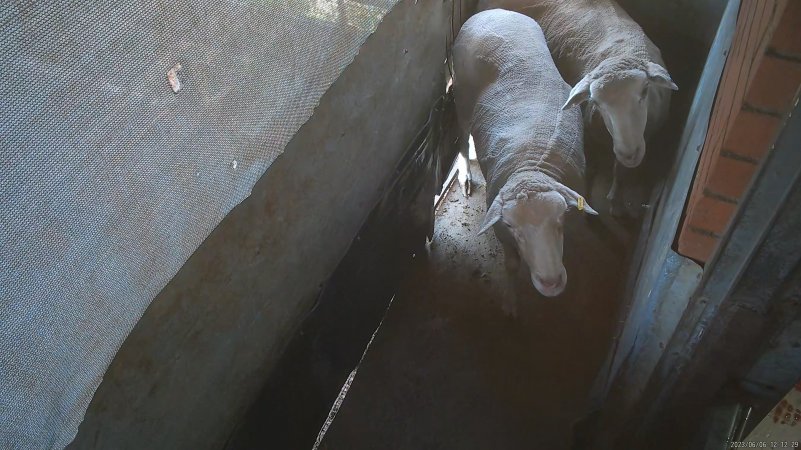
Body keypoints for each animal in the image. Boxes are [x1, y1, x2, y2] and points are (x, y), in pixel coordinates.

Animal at [456, 8, 592, 308]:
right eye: (510, 225)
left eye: (560, 220)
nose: (551, 283)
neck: (532, 166)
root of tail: (492, 11)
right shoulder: (502, 234)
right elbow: (511, 267)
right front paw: (510, 302)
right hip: (460, 98)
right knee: (460, 138)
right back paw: (466, 176)